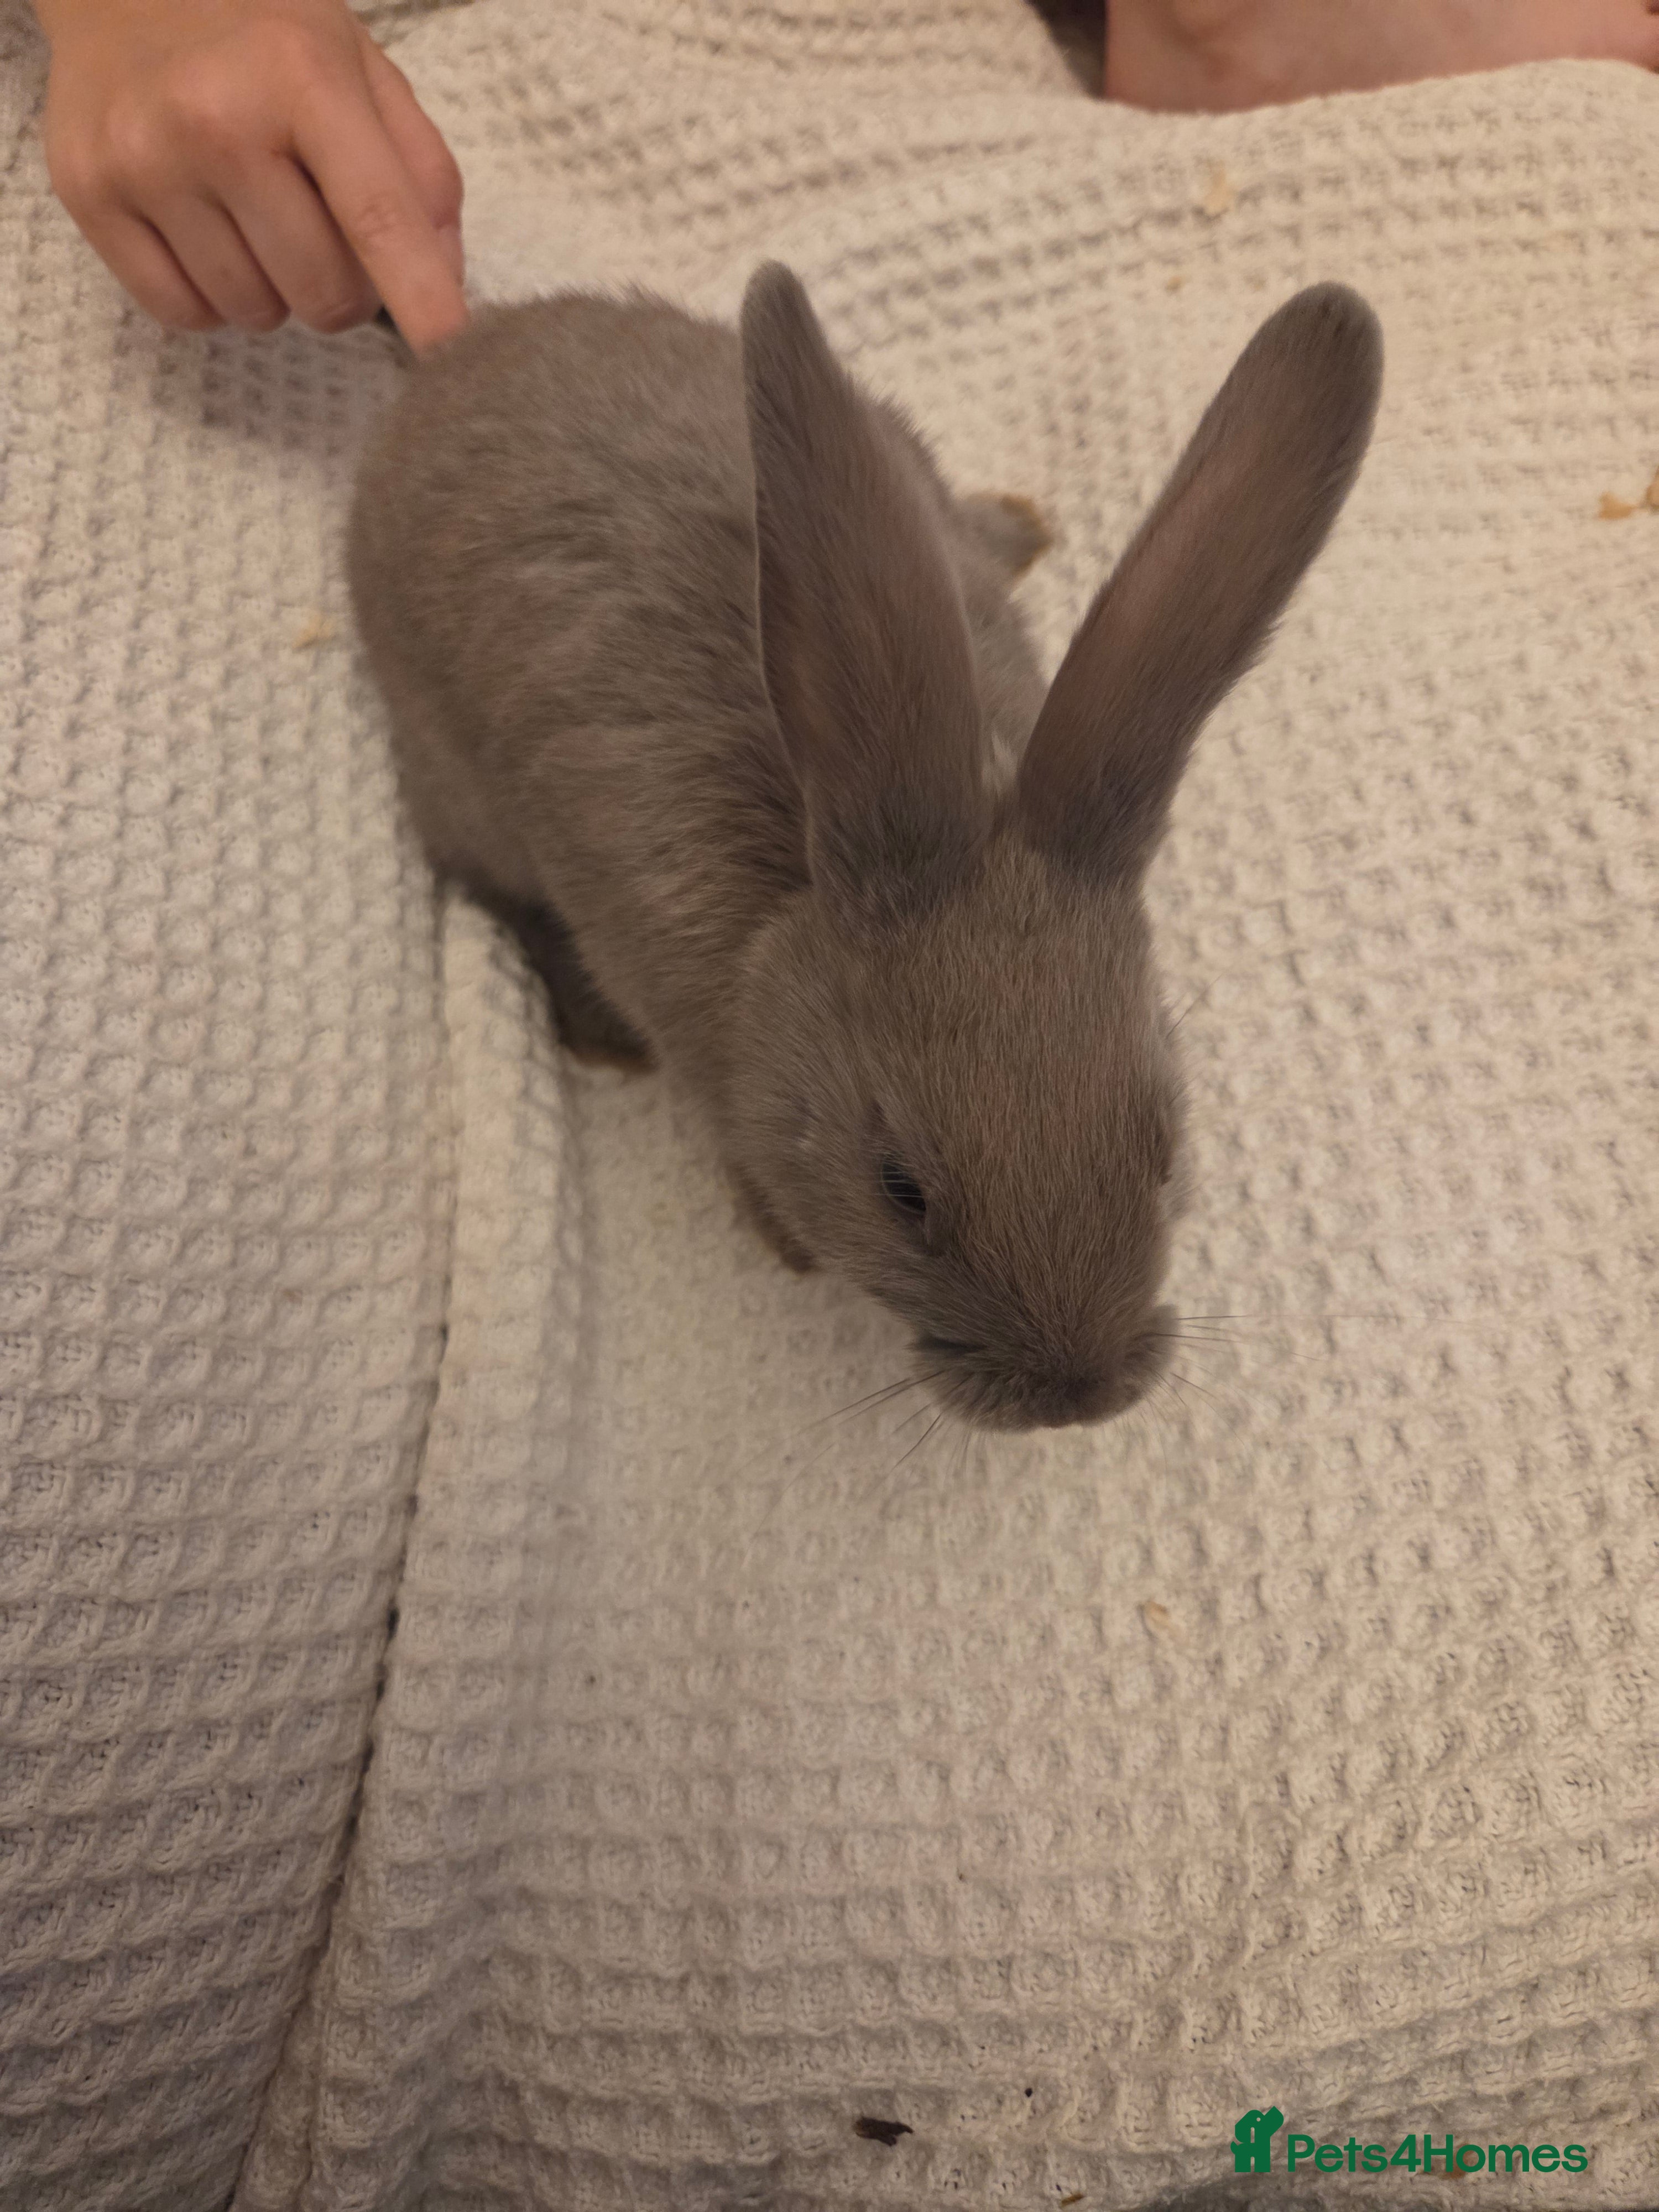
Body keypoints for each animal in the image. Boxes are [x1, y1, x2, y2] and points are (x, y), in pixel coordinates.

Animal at [349, 264, 1381, 1433]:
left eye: (1163, 1148)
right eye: (901, 1190)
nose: (1075, 1394)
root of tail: (455, 363)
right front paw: (786, 1243)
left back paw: (1015, 526)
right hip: (454, 784)